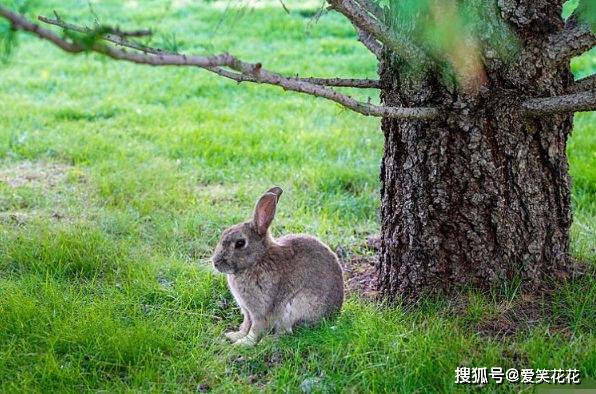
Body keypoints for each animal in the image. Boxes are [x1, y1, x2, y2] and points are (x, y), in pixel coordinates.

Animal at [212, 187, 344, 344]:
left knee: (286, 333)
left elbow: (255, 329)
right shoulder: (247, 311)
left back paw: (267, 341)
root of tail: (334, 315)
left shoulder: (260, 311)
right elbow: (246, 325)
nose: (215, 262)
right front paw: (234, 336)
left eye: (240, 243)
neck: (258, 259)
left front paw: (243, 343)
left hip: (294, 307)